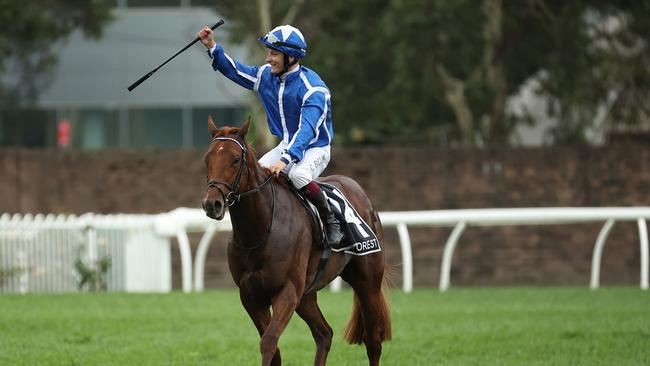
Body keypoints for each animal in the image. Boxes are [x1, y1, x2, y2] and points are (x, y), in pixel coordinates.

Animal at [200, 117, 388, 366]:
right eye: (207, 159)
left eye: (235, 159)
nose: (212, 204)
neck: (261, 230)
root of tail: (358, 190)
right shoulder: (250, 296)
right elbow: (275, 350)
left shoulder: (287, 291)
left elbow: (269, 342)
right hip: (307, 295)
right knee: (324, 333)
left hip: (368, 282)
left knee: (373, 341)